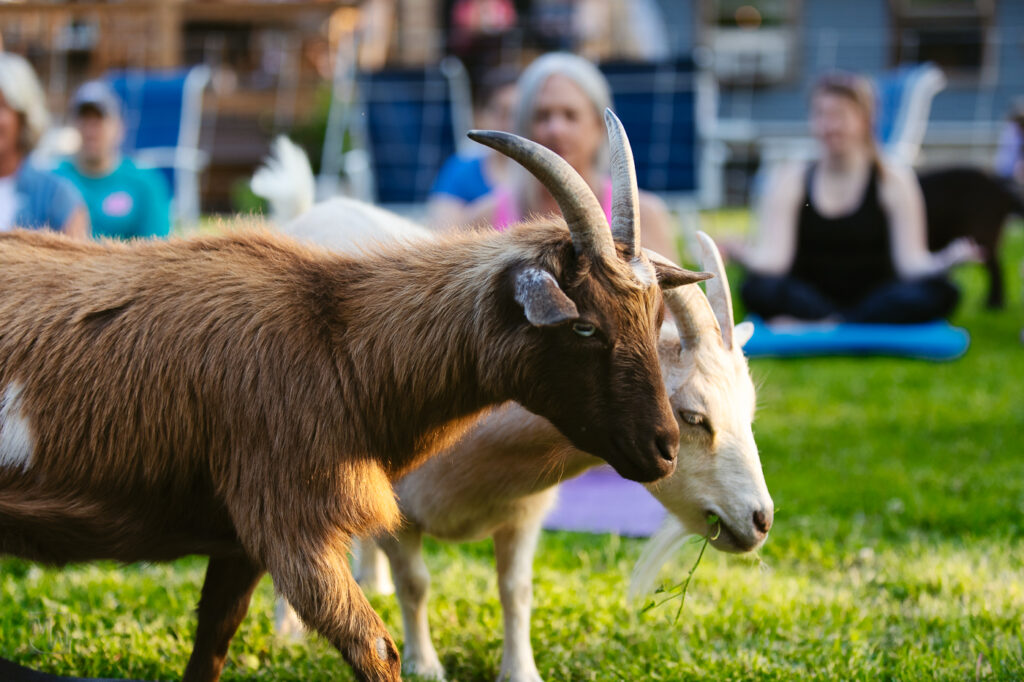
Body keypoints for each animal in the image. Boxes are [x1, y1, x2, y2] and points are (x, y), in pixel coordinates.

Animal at [0, 119, 704, 675]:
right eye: (586, 327)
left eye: (652, 318)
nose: (664, 448)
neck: (338, 340)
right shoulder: (293, 521)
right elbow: (377, 648)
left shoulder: (238, 535)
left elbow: (213, 641)